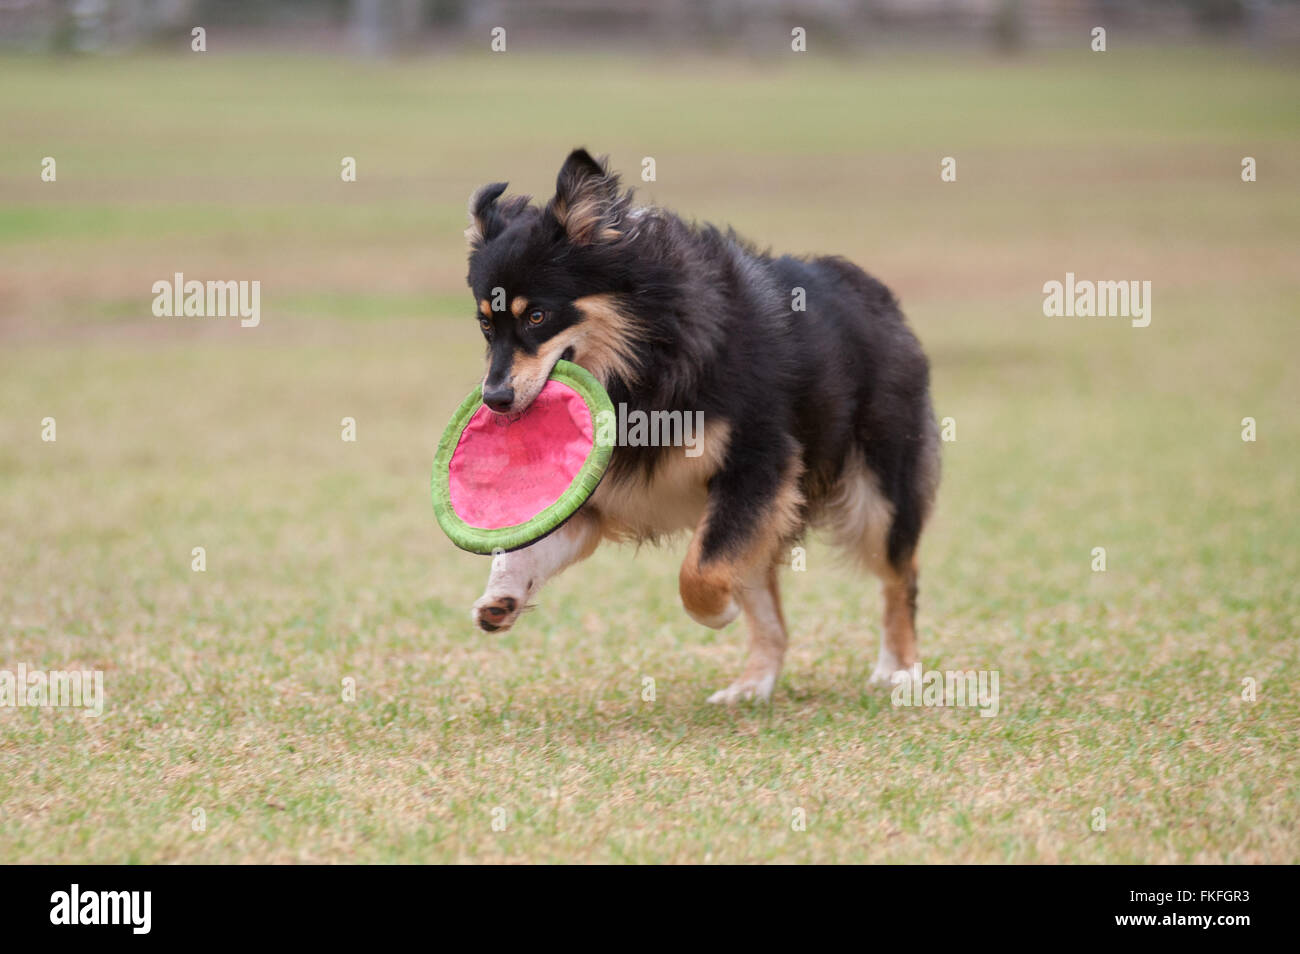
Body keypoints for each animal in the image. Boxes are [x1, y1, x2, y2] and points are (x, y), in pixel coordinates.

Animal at [462, 147, 941, 701]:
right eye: (485, 325)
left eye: (537, 317)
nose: (494, 399)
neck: (645, 360)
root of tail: (876, 294)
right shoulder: (595, 498)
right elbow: (529, 548)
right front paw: (502, 597)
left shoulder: (757, 463)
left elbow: (699, 572)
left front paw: (717, 611)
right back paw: (753, 685)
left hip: (878, 491)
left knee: (900, 574)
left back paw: (898, 669)